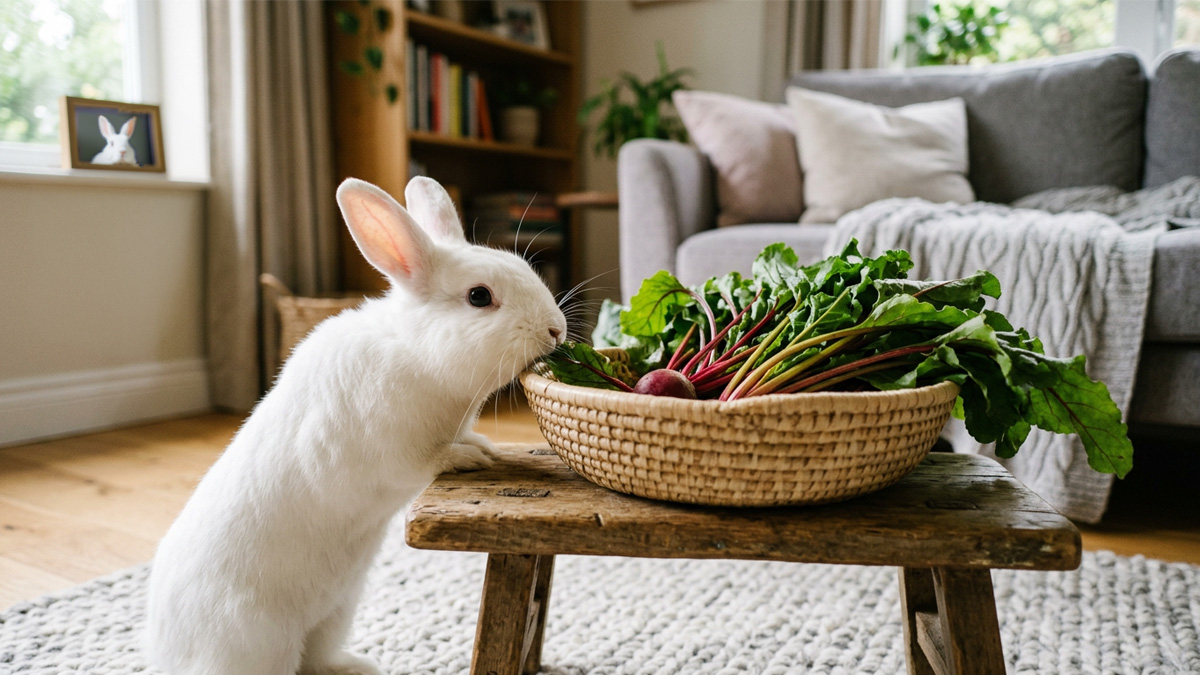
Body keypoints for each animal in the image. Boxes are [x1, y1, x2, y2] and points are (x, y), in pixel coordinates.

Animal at [144, 176, 567, 675]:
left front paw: (481, 444)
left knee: (317, 659)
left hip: (336, 613)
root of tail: (167, 655)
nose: (556, 330)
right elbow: (430, 460)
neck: (415, 351)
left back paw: (361, 666)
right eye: (479, 296)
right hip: (257, 642)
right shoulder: (395, 455)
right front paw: (472, 455)